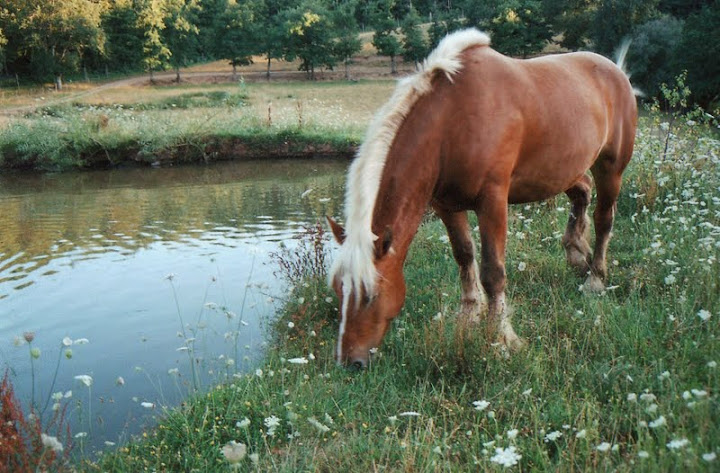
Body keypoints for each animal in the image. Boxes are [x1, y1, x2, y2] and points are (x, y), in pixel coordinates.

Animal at [326, 28, 636, 368]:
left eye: (370, 295)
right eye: (338, 289)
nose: (348, 361)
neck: (452, 121)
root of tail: (617, 71)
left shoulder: (493, 202)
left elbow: (492, 272)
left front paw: (503, 337)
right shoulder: (446, 205)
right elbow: (464, 256)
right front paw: (468, 318)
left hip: (610, 167)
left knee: (604, 219)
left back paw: (595, 279)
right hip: (564, 169)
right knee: (582, 191)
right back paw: (576, 252)